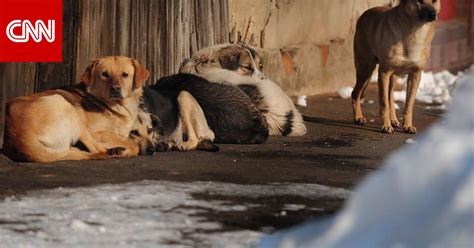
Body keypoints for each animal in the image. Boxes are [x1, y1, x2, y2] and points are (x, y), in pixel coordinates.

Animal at [2, 56, 151, 163]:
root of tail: (22, 141)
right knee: (98, 151)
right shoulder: (97, 132)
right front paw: (122, 150)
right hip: (65, 104)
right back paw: (113, 151)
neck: (116, 106)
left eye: (125, 74)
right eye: (104, 74)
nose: (115, 89)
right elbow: (134, 145)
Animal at [352, 0, 440, 134]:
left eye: (435, 1)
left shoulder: (415, 75)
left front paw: (408, 125)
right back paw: (358, 117)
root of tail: (363, 15)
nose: (433, 14)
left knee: (390, 97)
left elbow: (409, 104)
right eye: (419, 1)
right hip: (365, 70)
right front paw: (386, 126)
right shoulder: (384, 73)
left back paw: (393, 120)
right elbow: (384, 103)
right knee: (355, 94)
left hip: (392, 76)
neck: (414, 32)